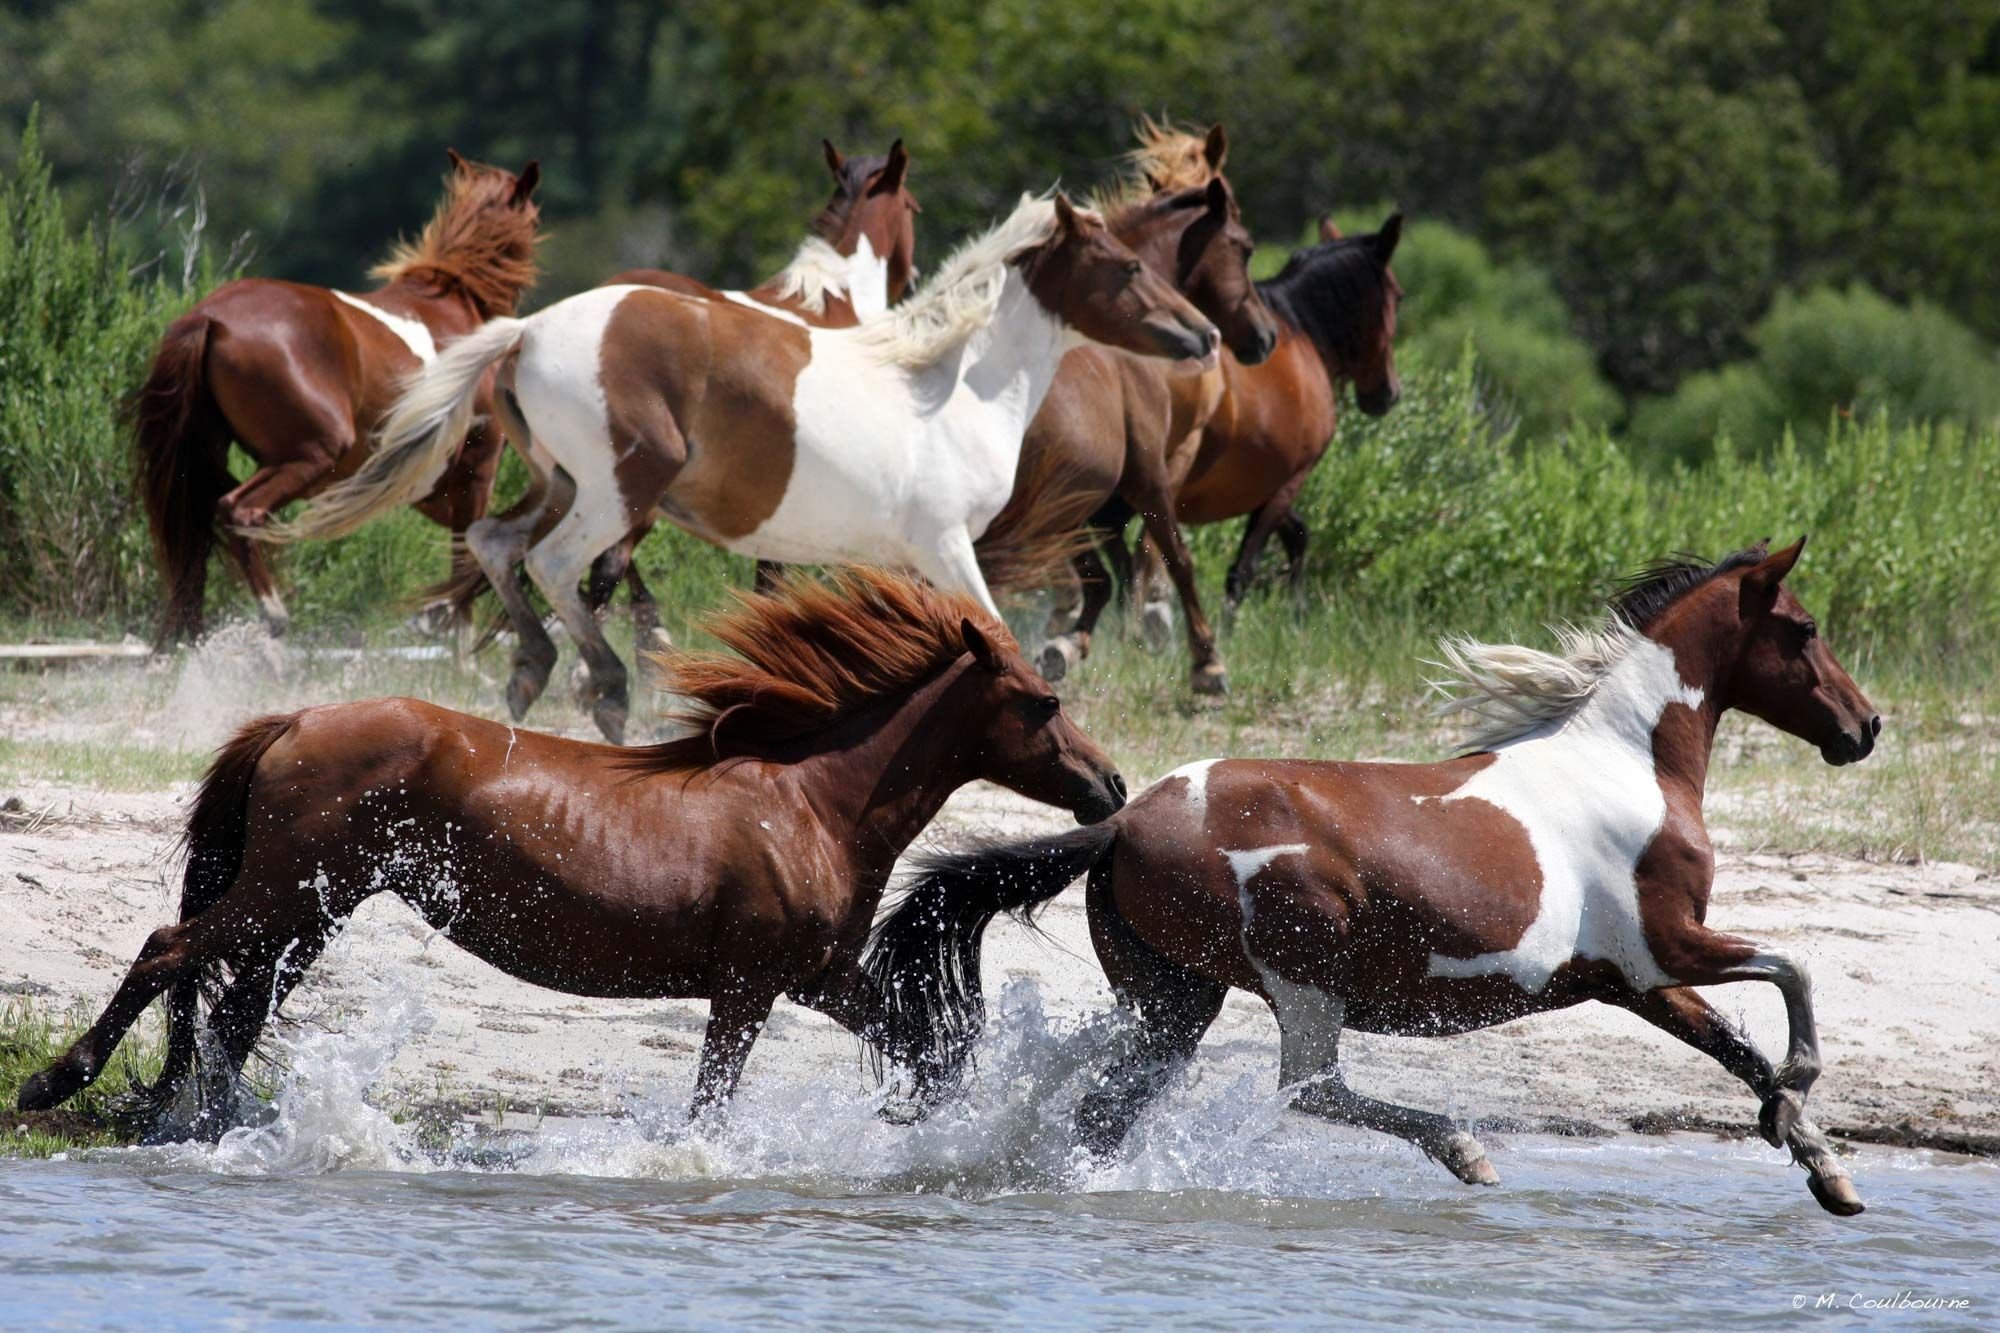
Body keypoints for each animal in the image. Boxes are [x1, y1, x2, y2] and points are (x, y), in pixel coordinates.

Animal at [15, 564, 1128, 1136]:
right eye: (1043, 701)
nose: (1111, 786)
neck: (810, 803)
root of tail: (297, 719)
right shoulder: (748, 988)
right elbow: (709, 1105)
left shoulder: (817, 974)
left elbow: (925, 1046)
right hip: (283, 892)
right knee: (169, 952)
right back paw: (58, 1084)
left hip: (311, 908)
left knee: (234, 1011)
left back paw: (208, 1124)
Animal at [132, 150, 544, 640]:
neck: (458, 308)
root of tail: (209, 317)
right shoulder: (475, 474)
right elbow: (470, 568)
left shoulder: (425, 487)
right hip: (312, 455)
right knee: (238, 512)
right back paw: (275, 619)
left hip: (206, 459)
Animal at [868, 540, 1880, 1216]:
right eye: (1804, 629)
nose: (1864, 726)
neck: (1629, 762)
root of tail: (1122, 821)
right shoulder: (1668, 945)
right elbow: (1793, 972)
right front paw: (1803, 1093)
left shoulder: (1635, 980)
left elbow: (1738, 1051)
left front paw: (1823, 1164)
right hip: (1301, 975)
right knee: (1311, 1086)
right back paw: (1464, 1149)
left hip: (1173, 996)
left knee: (1110, 1108)